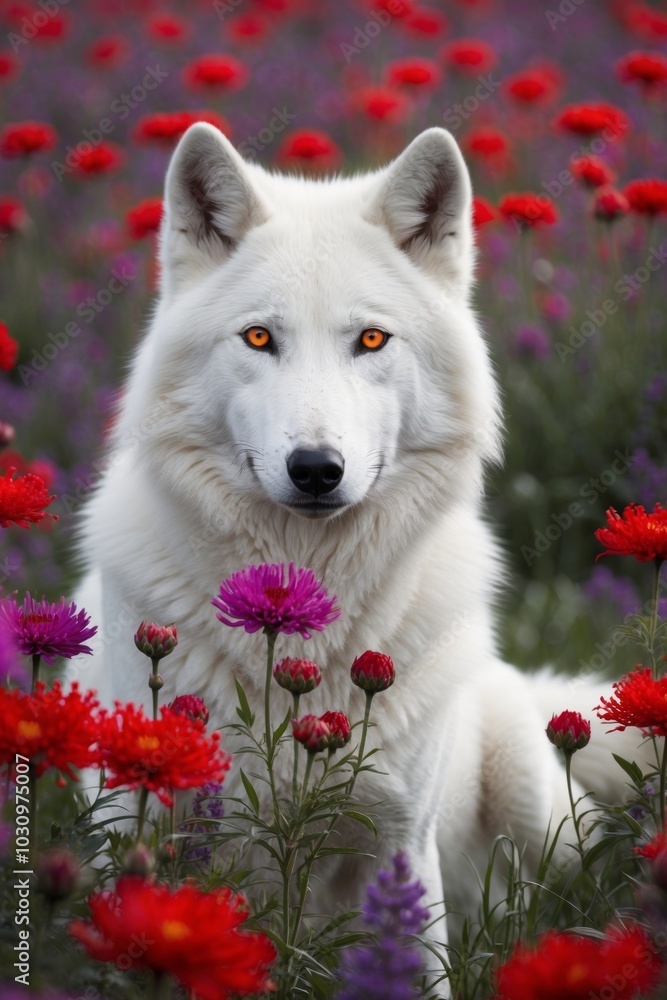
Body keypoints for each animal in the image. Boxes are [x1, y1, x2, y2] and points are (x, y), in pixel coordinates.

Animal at [73, 124, 644, 964]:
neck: (296, 621)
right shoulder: (135, 829)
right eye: (258, 337)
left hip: (537, 800)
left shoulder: (402, 845)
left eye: (371, 339)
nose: (316, 469)